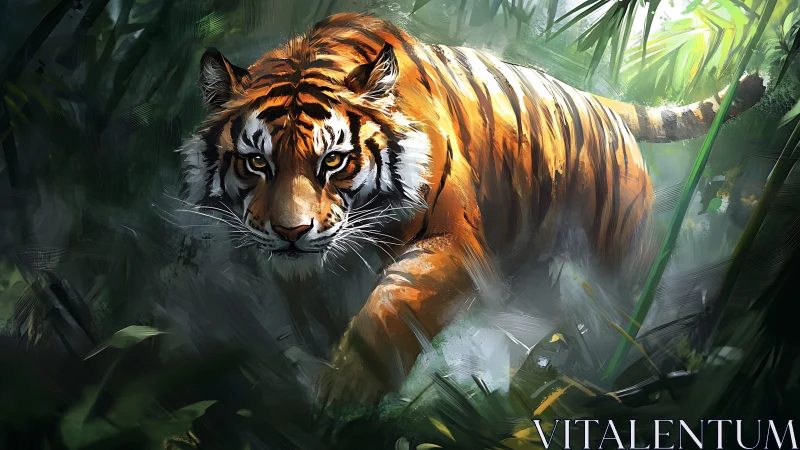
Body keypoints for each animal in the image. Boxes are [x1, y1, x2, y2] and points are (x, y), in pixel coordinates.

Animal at [177, 13, 764, 404]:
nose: (291, 232)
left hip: (621, 261)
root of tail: (597, 101)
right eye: (257, 162)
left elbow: (388, 311)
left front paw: (343, 389)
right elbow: (313, 313)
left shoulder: (452, 244)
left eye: (334, 161)